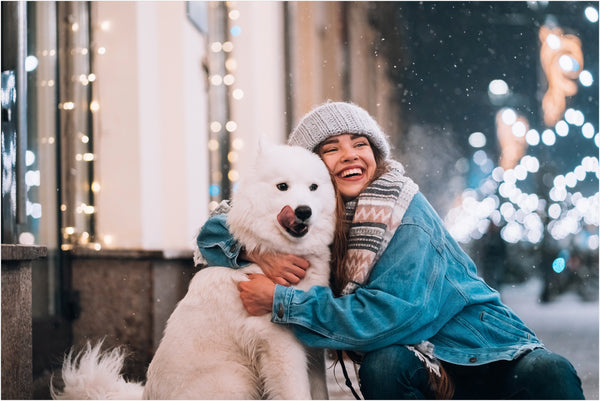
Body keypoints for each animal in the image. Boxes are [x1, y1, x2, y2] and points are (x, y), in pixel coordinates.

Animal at [52, 142, 338, 398]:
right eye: (282, 186)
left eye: (313, 187)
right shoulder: (280, 344)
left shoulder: (311, 343)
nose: (303, 211)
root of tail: (146, 396)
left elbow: (319, 389)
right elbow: (296, 391)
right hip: (234, 381)